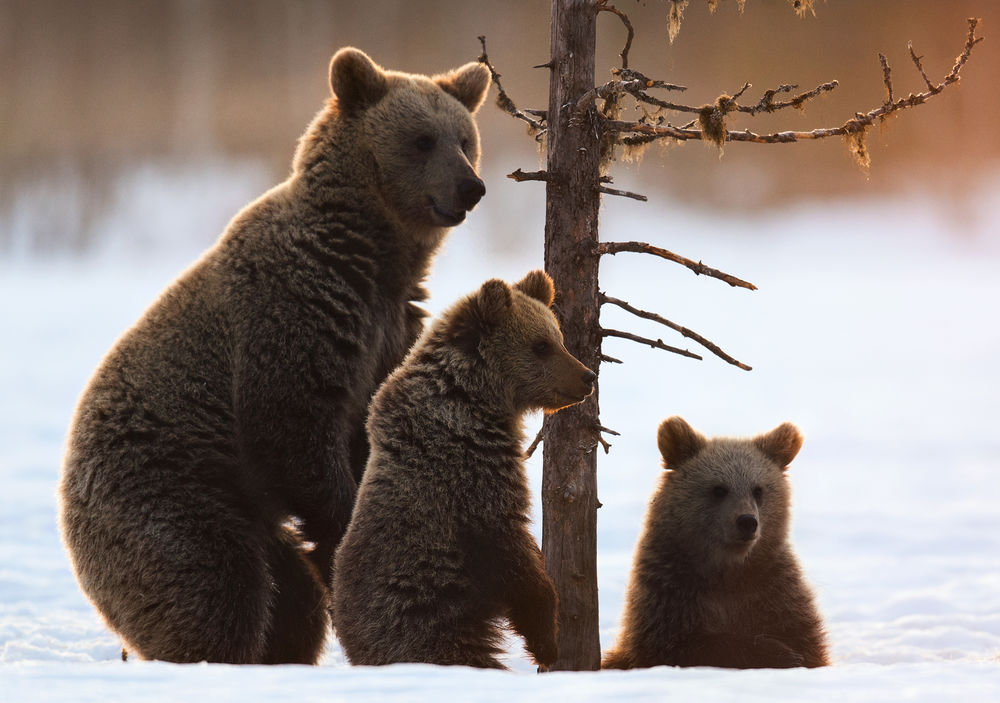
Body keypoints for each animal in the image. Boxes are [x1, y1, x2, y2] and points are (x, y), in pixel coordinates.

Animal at [57, 49, 492, 664]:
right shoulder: (294, 312)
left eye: (465, 138)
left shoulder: (388, 330)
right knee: (213, 586)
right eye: (422, 139)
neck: (371, 256)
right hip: (168, 494)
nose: (470, 187)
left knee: (288, 602)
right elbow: (292, 427)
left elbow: (368, 430)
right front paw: (347, 526)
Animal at [330, 270, 592, 672]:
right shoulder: (470, 477)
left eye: (559, 339)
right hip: (425, 622)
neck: (472, 401)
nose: (587, 377)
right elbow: (512, 553)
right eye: (541, 345)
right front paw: (547, 641)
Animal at [600, 418, 828, 672]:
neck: (726, 570)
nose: (747, 522)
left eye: (758, 489)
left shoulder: (774, 590)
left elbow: (806, 642)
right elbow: (683, 645)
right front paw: (777, 653)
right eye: (719, 489)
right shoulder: (669, 595)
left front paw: (790, 654)